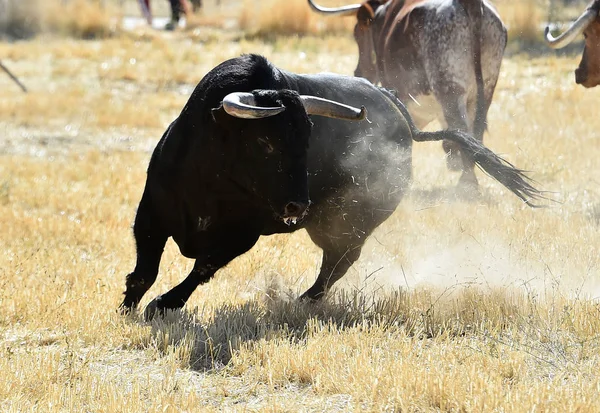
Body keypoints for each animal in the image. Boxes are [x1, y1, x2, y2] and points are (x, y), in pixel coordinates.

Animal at [119, 52, 540, 316]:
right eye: (264, 142)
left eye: (308, 139)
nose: (297, 206)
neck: (212, 178)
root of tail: (401, 117)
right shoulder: (151, 212)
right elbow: (145, 270)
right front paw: (128, 306)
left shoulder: (242, 235)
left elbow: (202, 268)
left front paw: (162, 305)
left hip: (350, 222)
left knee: (338, 262)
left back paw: (302, 302)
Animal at [310, 0, 506, 187]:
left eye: (357, 34)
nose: (358, 72)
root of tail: (469, 3)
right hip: (486, 89)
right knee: (476, 131)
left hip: (449, 89)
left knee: (462, 128)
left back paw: (467, 182)